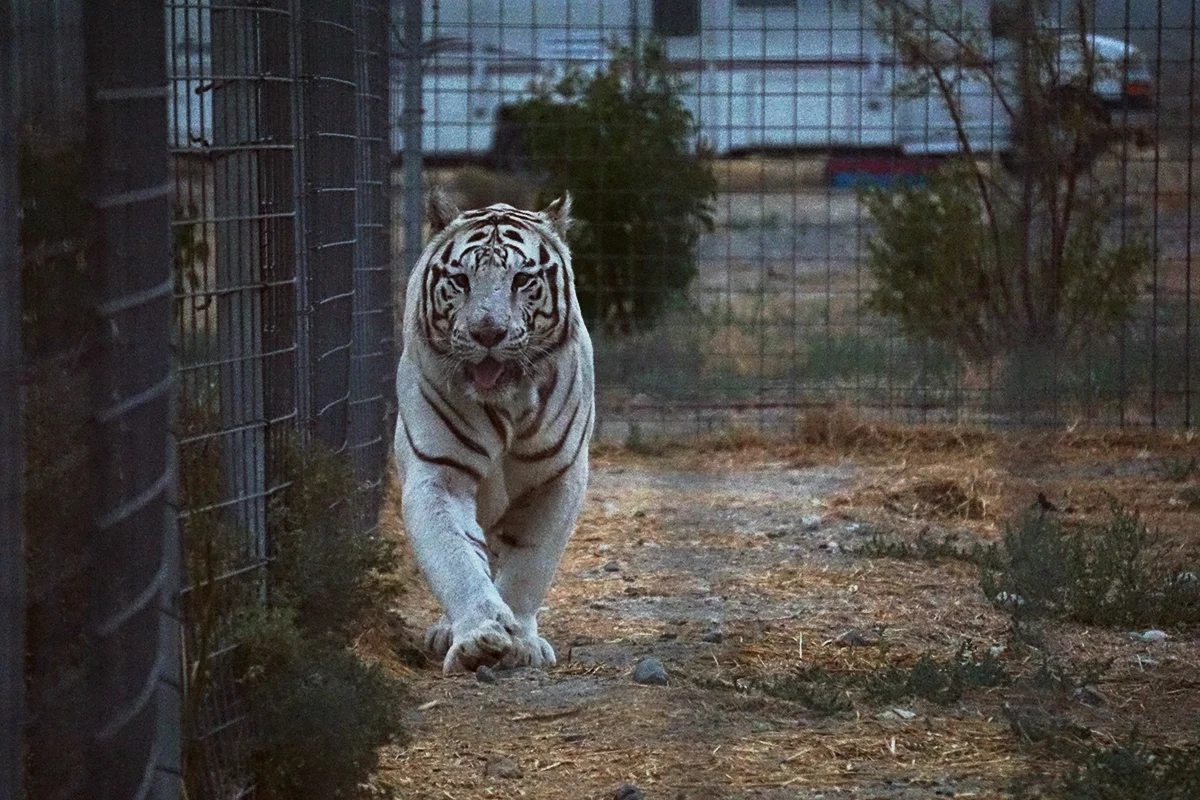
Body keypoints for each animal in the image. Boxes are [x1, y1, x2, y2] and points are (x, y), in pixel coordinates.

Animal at [393, 187, 594, 674]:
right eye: (461, 281)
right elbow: (457, 559)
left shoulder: (557, 479)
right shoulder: (439, 475)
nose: (488, 332)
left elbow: (529, 565)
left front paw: (521, 641)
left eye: (522, 280)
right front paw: (479, 638)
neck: (507, 405)